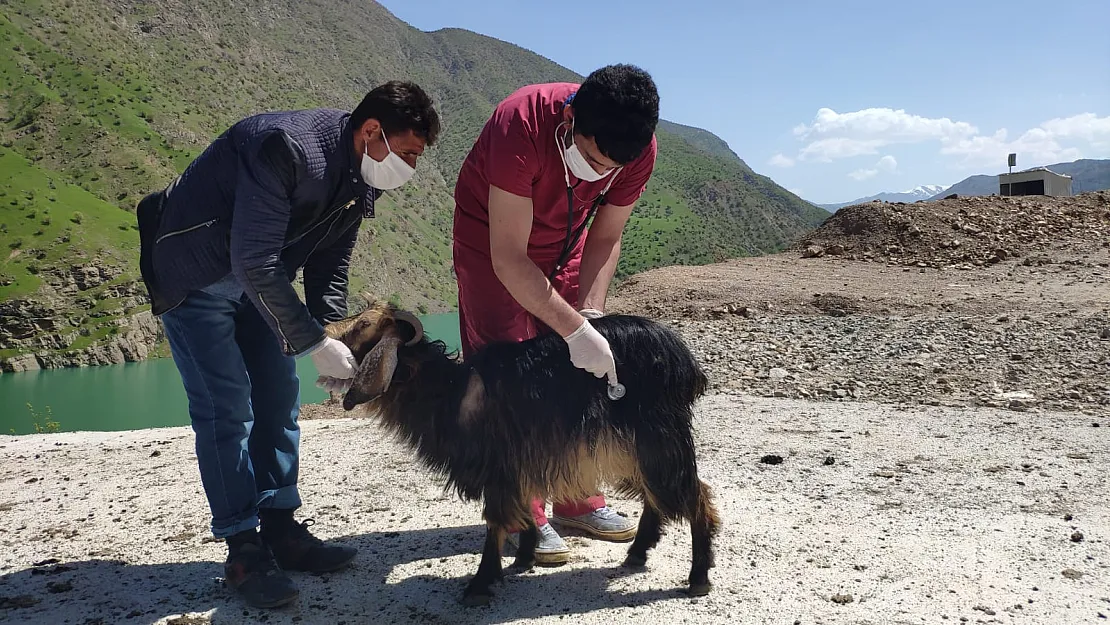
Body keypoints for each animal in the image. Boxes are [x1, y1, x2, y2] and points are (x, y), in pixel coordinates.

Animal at [324, 297, 719, 608]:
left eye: (363, 324)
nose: (326, 329)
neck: (451, 391)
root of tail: (683, 358)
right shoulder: (519, 464)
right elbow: (524, 508)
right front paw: (524, 559)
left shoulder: (500, 465)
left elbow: (497, 520)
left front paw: (481, 584)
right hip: (634, 446)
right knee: (659, 494)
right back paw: (637, 553)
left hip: (656, 438)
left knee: (696, 496)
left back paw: (698, 577)